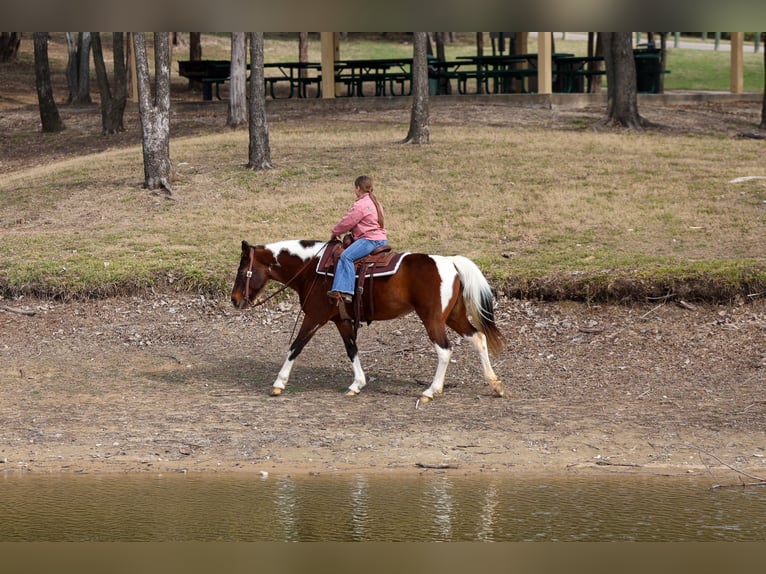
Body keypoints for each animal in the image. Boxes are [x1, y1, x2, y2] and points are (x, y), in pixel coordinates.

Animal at [230, 239, 505, 403]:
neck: (312, 268)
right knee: (478, 338)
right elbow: (351, 349)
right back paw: (495, 384)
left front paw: (279, 383)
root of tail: (450, 261)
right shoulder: (340, 320)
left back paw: (431, 390)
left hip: (432, 318)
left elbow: (295, 346)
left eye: (243, 272)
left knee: (445, 350)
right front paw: (357, 384)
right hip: (454, 316)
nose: (234, 300)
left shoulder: (315, 317)